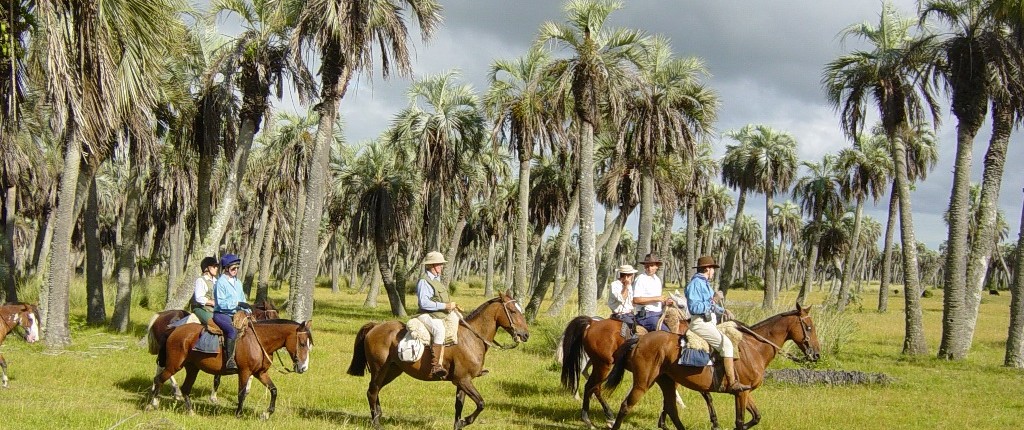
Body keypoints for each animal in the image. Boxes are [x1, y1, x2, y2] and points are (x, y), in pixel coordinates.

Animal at [144, 317, 311, 417]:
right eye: (302, 343)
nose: (303, 368)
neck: (258, 341)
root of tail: (174, 330)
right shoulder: (244, 372)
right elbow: (242, 393)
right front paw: (238, 414)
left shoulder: (260, 373)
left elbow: (274, 390)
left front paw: (266, 414)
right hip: (174, 365)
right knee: (159, 379)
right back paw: (153, 404)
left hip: (192, 368)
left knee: (185, 388)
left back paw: (190, 411)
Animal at [348, 290, 532, 427]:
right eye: (513, 311)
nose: (525, 335)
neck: (472, 337)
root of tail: (375, 326)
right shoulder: (463, 380)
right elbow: (481, 403)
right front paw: (466, 421)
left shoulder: (462, 382)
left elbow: (459, 405)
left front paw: (459, 424)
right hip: (379, 369)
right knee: (372, 392)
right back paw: (376, 423)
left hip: (392, 371)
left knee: (375, 390)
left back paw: (378, 416)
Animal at [557, 309, 692, 425]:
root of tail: (593, 323)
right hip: (603, 365)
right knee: (592, 386)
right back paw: (594, 418)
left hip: (598, 364)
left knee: (592, 385)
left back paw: (600, 417)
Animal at [602, 303, 819, 427]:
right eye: (808, 327)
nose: (816, 354)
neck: (754, 348)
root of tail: (639, 340)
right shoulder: (740, 393)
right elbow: (740, 421)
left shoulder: (745, 391)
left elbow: (756, 417)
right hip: (643, 382)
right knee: (626, 406)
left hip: (666, 381)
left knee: (671, 408)